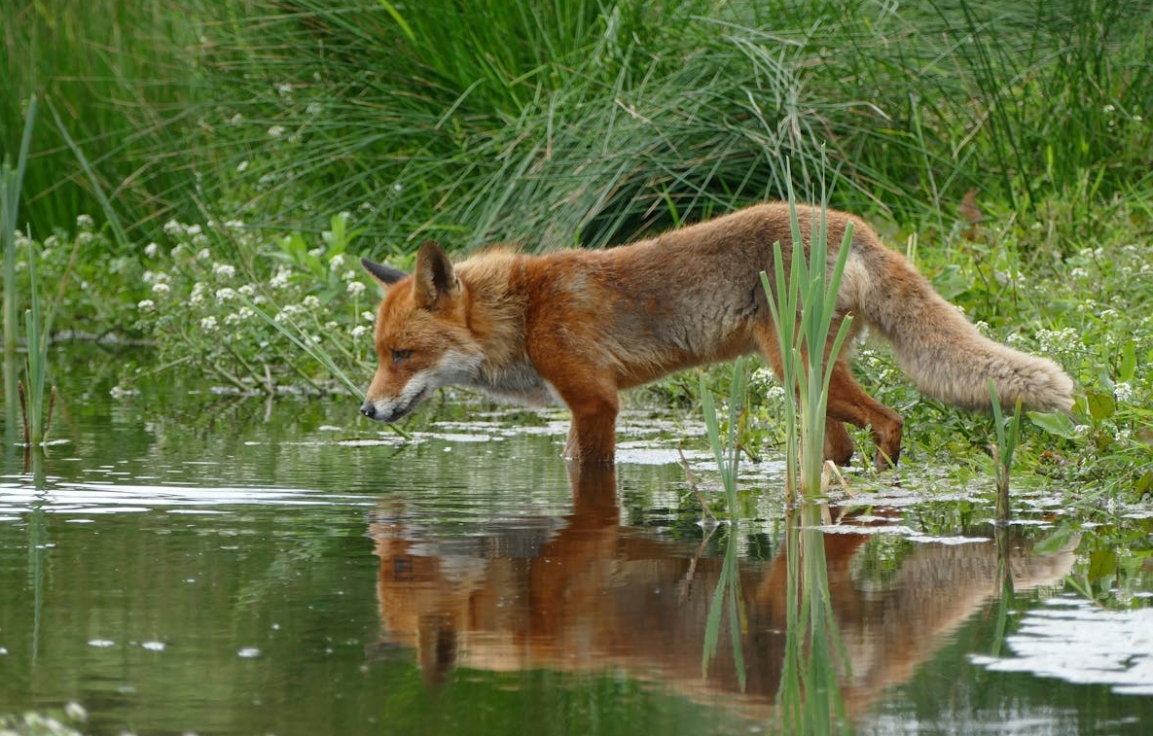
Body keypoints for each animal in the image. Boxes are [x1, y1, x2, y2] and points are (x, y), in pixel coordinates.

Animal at [357, 201, 1069, 466]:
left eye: (404, 354)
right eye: (380, 355)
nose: (366, 410)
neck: (525, 314)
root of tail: (851, 223)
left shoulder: (596, 402)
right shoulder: (582, 406)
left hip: (797, 369)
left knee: (891, 420)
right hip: (810, 384)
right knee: (843, 444)